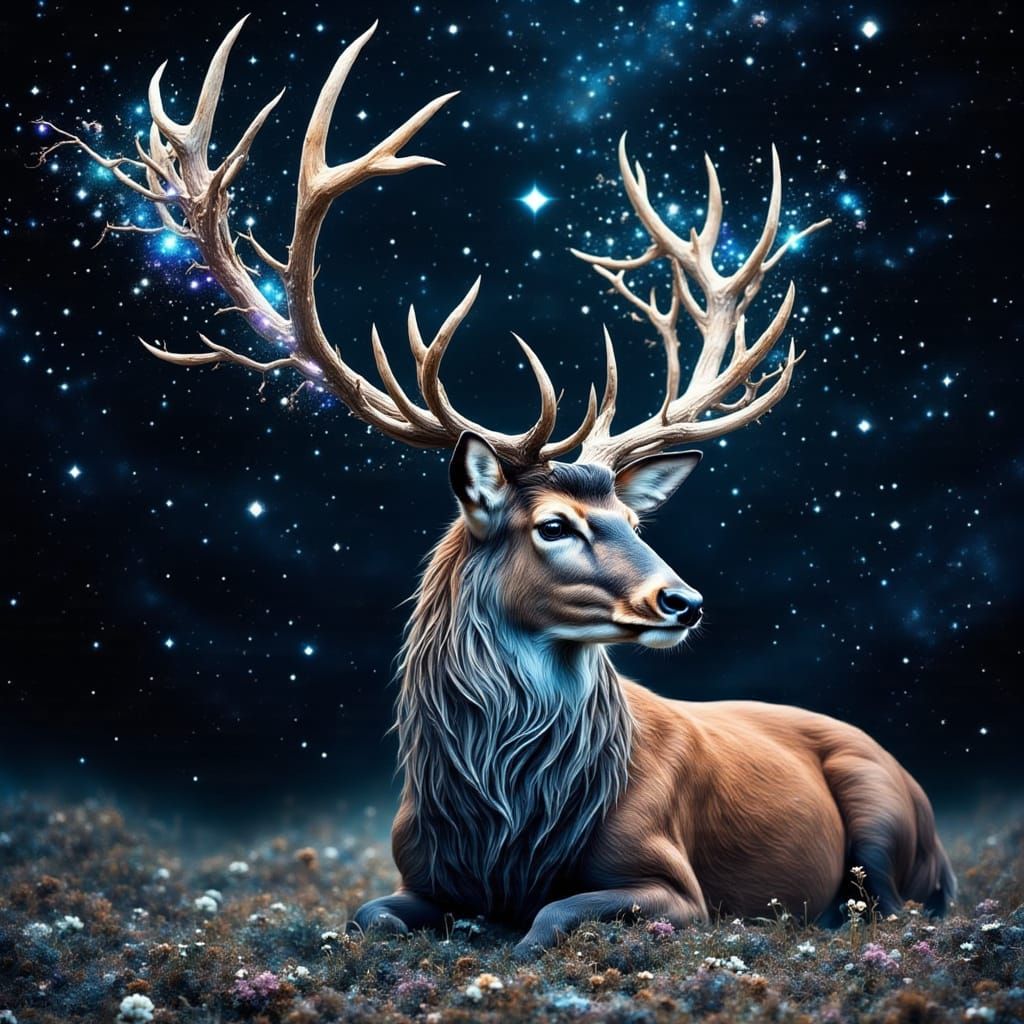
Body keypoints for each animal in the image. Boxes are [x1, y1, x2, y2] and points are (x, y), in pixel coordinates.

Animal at [40, 18, 955, 955]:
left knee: (889, 900)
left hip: (885, 810)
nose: (683, 601)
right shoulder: (414, 873)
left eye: (633, 518)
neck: (505, 821)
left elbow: (546, 920)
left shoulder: (675, 883)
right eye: (553, 525)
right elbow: (368, 914)